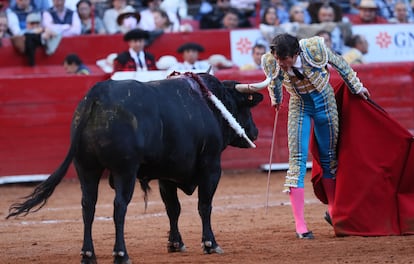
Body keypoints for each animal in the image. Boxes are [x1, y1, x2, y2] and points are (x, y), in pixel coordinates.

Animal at [6, 72, 264, 264]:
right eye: (244, 107)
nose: (255, 132)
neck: (211, 103)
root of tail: (96, 96)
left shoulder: (166, 174)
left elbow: (173, 208)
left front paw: (175, 243)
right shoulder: (211, 166)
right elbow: (204, 206)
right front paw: (210, 244)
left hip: (85, 168)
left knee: (88, 206)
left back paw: (88, 254)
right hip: (125, 170)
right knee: (119, 206)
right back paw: (121, 254)